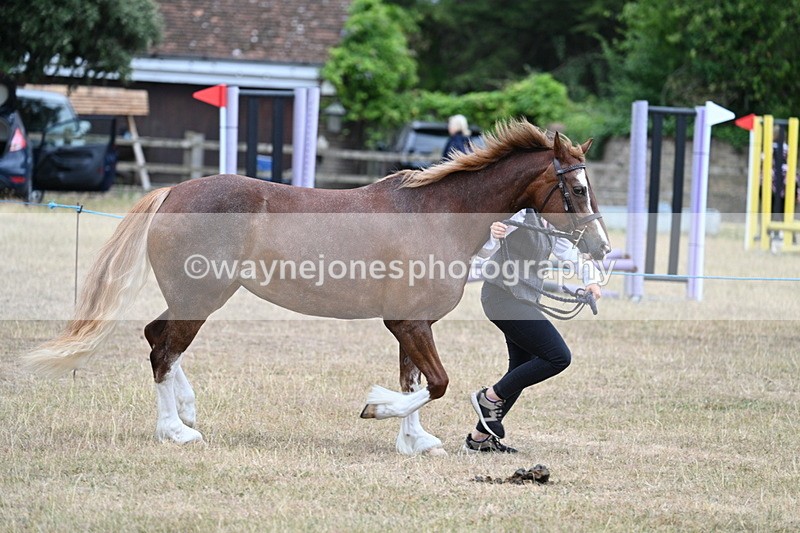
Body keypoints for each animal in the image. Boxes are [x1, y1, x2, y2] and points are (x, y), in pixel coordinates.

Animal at [24, 119, 611, 455]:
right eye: (578, 188)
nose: (602, 247)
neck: (437, 215)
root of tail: (173, 192)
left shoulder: (410, 324)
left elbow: (415, 382)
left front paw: (414, 441)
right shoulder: (408, 322)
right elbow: (436, 383)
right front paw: (377, 410)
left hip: (193, 297)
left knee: (156, 338)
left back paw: (186, 411)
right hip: (200, 297)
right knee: (164, 349)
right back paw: (177, 431)